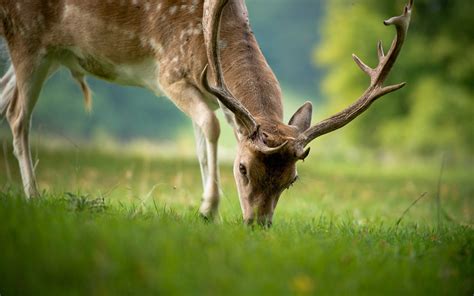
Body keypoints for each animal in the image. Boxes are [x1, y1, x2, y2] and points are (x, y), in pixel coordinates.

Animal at [0, 0, 412, 225]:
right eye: (242, 168)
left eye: (292, 180)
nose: (258, 224)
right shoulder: (169, 72)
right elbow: (210, 128)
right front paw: (209, 208)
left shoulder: (218, 99)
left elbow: (201, 141)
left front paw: (203, 205)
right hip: (27, 38)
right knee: (19, 114)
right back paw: (33, 195)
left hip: (51, 54)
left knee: (6, 98)